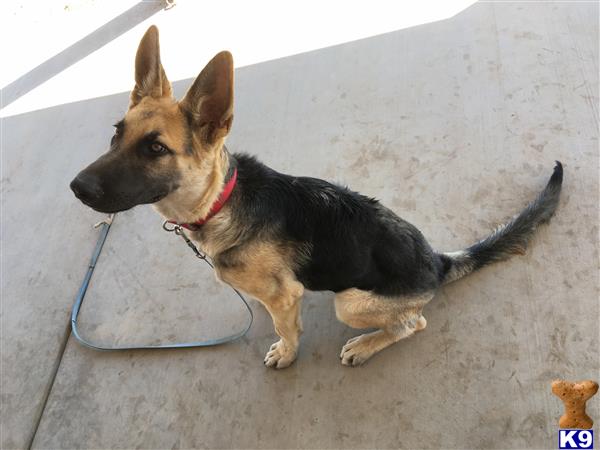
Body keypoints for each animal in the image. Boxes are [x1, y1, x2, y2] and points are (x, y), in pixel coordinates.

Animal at [70, 26, 564, 368]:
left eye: (156, 148)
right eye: (116, 134)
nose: (76, 188)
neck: (221, 201)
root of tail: (438, 261)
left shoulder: (284, 296)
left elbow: (287, 329)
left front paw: (286, 355)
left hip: (351, 302)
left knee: (413, 322)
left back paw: (366, 345)